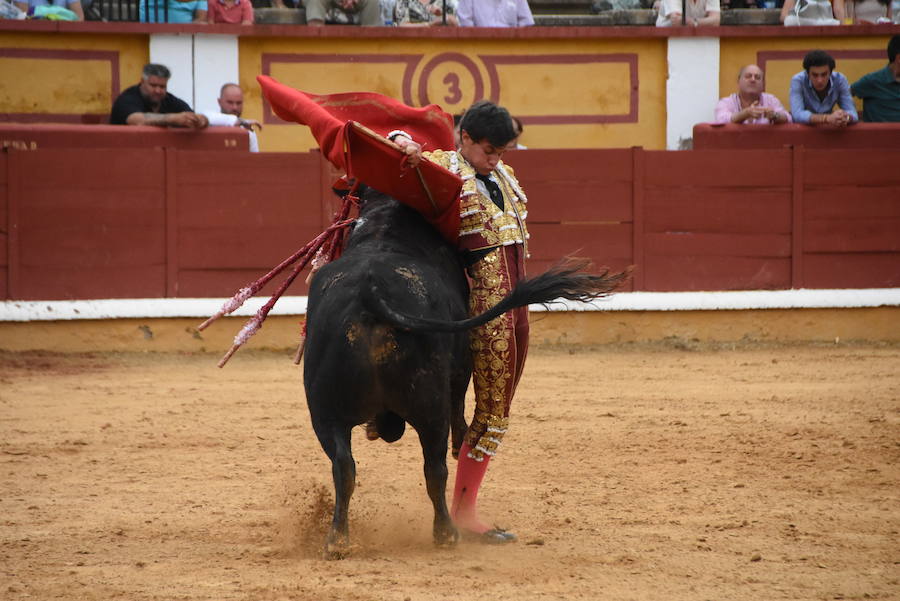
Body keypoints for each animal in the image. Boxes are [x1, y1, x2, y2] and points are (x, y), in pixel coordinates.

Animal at [302, 189, 624, 556]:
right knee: (435, 467)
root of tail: (371, 297)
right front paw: (459, 445)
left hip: (324, 410)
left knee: (343, 466)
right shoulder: (460, 368)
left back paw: (337, 540)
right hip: (429, 406)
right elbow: (459, 408)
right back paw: (446, 532)